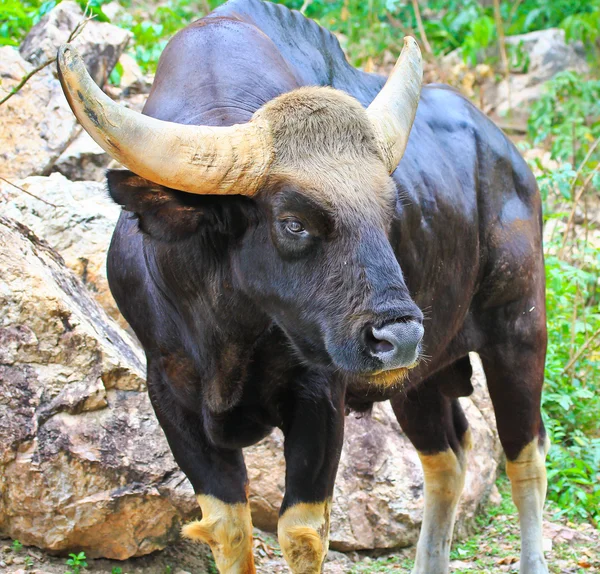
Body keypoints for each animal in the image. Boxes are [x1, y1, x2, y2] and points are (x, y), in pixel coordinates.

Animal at [56, 2, 548, 572]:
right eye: (293, 222)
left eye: (388, 211)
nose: (398, 337)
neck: (228, 329)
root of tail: (511, 160)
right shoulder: (169, 395)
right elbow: (227, 526)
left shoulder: (320, 395)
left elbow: (302, 533)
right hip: (418, 377)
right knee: (447, 459)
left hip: (518, 332)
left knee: (525, 459)